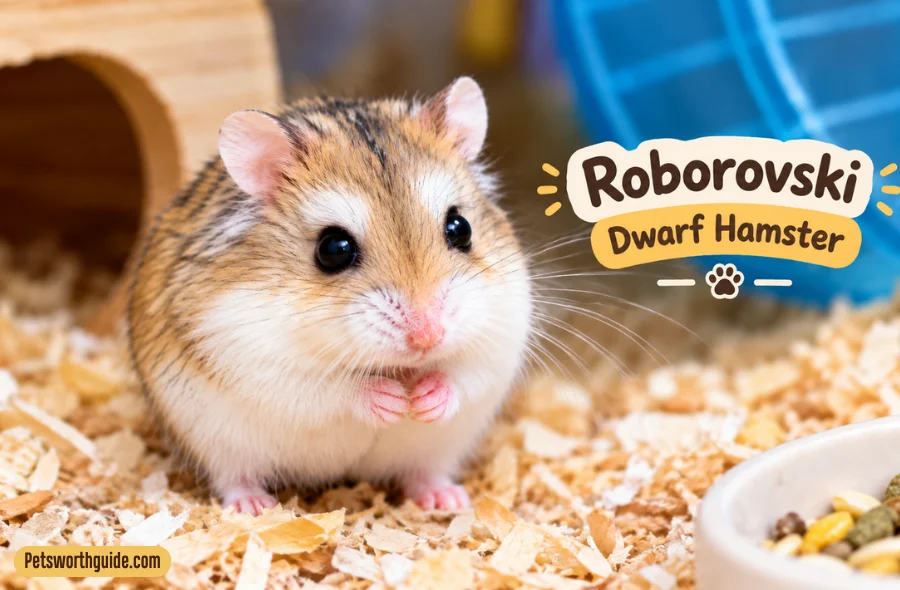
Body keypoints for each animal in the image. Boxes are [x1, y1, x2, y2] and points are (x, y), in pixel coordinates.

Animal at [128, 77, 532, 515]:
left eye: (461, 228)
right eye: (333, 249)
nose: (428, 337)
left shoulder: (501, 339)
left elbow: (464, 375)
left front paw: (426, 398)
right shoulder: (255, 360)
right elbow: (332, 389)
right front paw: (391, 400)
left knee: (422, 472)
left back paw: (447, 500)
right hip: (215, 442)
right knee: (234, 476)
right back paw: (254, 507)